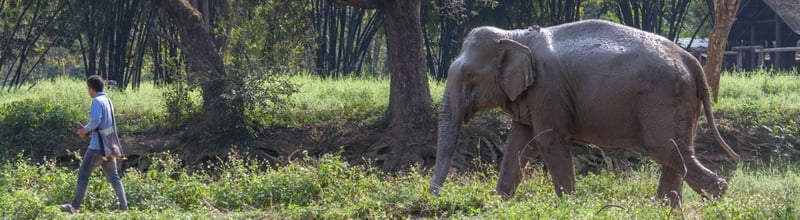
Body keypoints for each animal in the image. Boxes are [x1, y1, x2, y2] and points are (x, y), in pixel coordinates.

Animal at [428, 19, 740, 206]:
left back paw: (719, 193)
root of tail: (690, 59)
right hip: (681, 101)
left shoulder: (547, 89)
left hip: (664, 98)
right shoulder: (532, 95)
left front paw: (568, 206)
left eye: (469, 75)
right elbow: (519, 143)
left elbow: (547, 142)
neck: (514, 36)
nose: (434, 197)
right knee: (675, 152)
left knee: (665, 149)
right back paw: (664, 209)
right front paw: (500, 204)